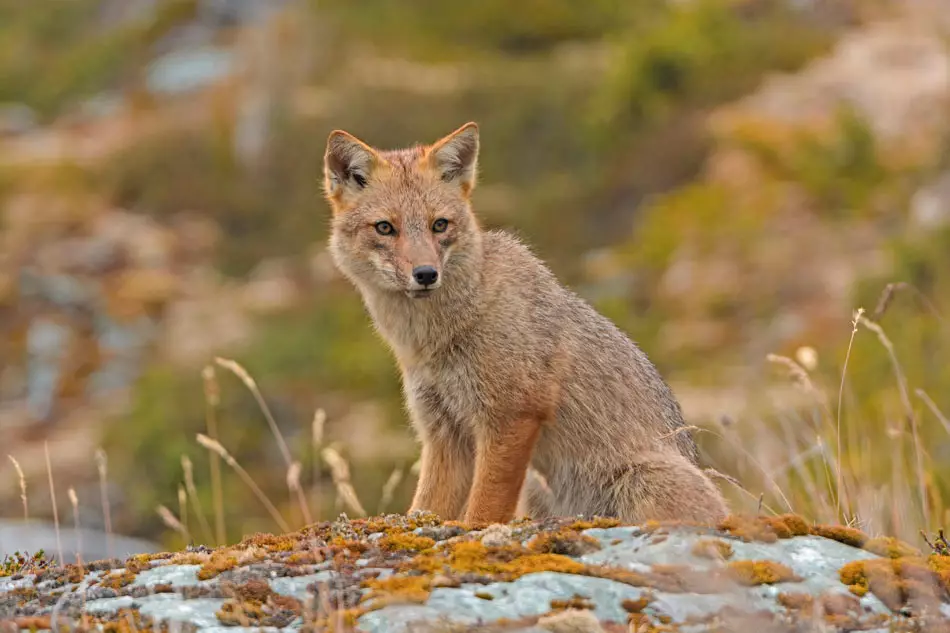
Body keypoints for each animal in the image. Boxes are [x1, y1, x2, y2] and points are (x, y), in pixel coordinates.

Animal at [322, 122, 728, 526]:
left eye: (439, 225)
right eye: (385, 228)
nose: (425, 274)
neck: (433, 339)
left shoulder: (511, 417)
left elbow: (483, 510)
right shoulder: (443, 432)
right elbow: (426, 507)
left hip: (640, 482)